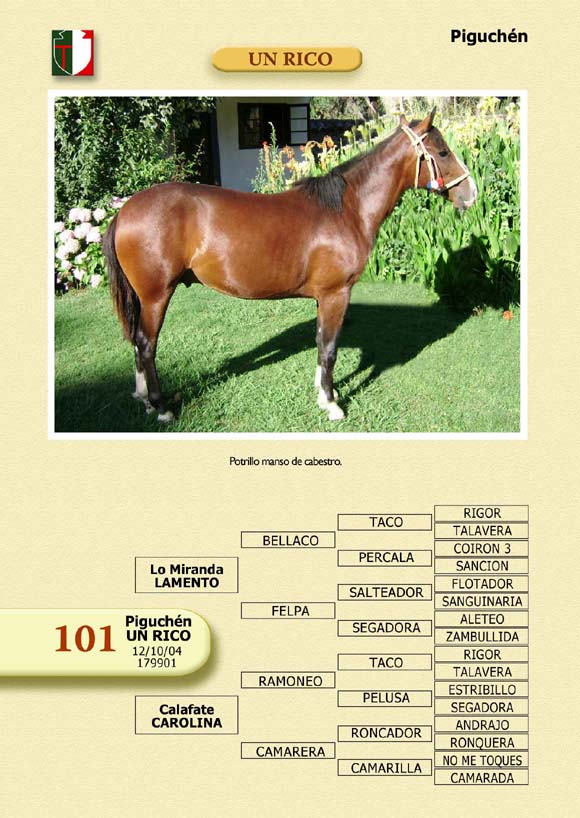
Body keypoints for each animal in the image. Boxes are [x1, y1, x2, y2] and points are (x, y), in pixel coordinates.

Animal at [103, 109, 477, 423]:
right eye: (443, 152)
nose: (471, 194)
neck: (346, 210)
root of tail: (126, 209)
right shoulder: (336, 294)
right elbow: (329, 348)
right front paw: (331, 404)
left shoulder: (323, 298)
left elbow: (321, 342)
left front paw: (324, 391)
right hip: (156, 295)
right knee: (147, 344)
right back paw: (161, 407)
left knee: (137, 343)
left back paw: (144, 399)